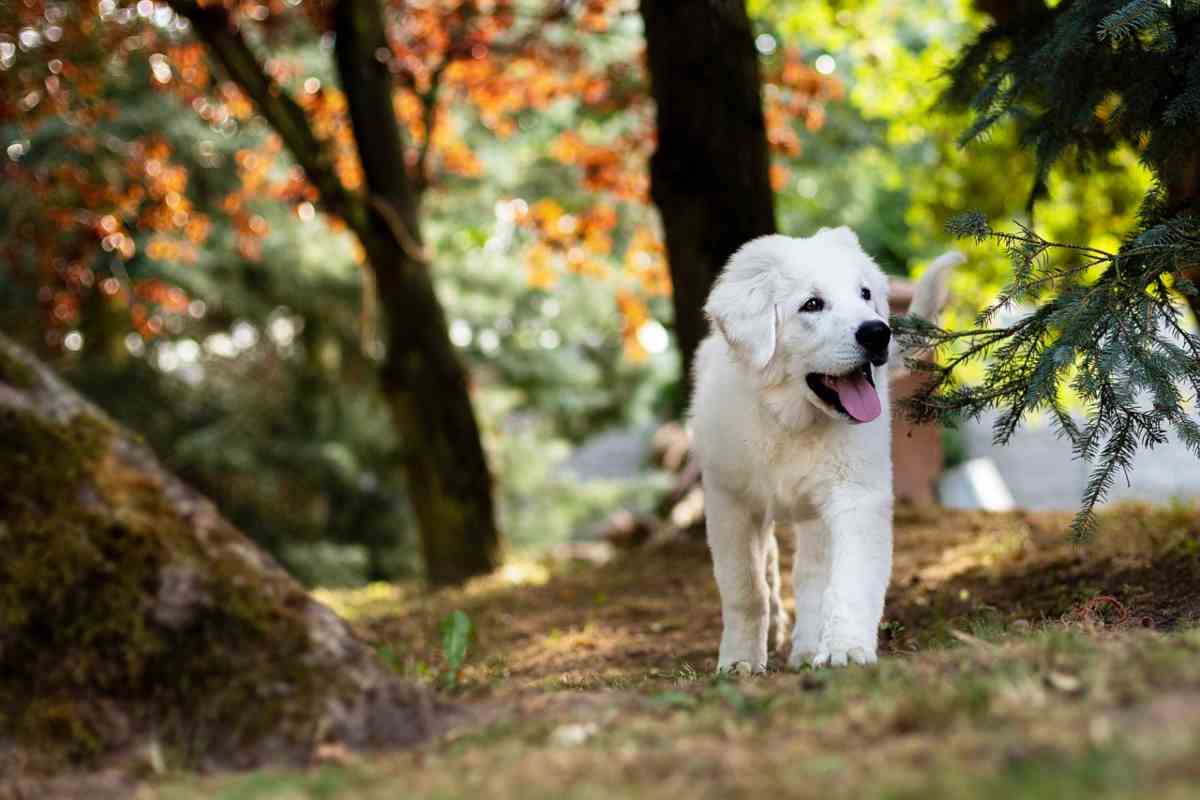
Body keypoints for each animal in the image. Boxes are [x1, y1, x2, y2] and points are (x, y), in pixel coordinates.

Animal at [691, 225, 960, 671]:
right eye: (812, 305)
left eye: (865, 293)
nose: (877, 332)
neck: (790, 421)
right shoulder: (729, 501)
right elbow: (745, 588)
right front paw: (739, 661)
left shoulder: (856, 495)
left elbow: (849, 580)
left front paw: (846, 649)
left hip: (816, 514)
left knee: (812, 577)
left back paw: (806, 649)